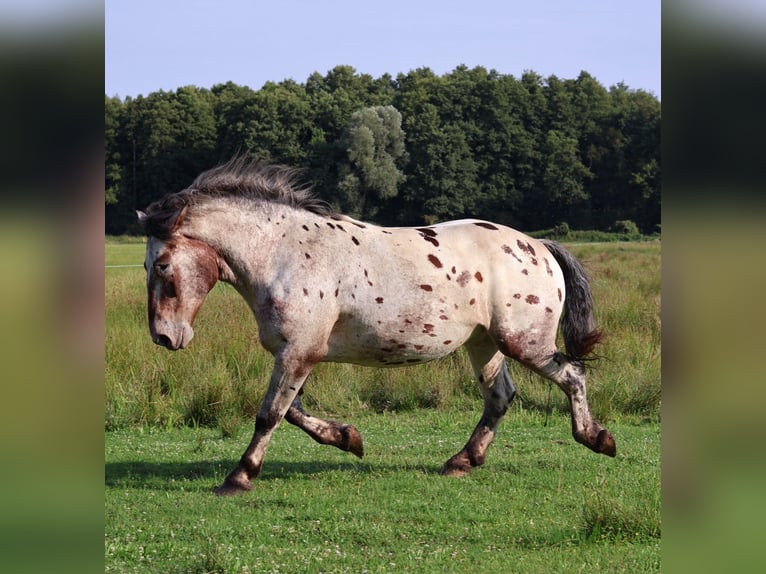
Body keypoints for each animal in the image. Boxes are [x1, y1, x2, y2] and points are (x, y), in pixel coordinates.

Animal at [140, 159, 616, 500]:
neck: (284, 254)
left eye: (162, 265)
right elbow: (292, 411)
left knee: (572, 374)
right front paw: (347, 438)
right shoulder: (297, 352)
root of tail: (539, 246)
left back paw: (597, 439)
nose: (164, 337)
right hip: (485, 344)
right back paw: (462, 461)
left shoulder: (299, 351)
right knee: (500, 397)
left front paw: (238, 477)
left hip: (524, 342)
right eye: (147, 265)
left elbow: (270, 413)